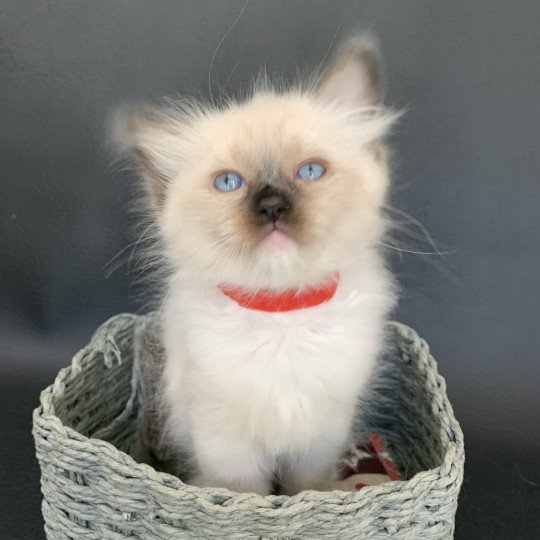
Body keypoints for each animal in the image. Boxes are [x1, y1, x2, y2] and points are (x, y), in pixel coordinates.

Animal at [119, 33, 396, 496]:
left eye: (310, 171)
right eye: (228, 183)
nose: (272, 207)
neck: (280, 313)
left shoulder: (319, 440)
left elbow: (307, 487)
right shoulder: (228, 445)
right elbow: (244, 494)